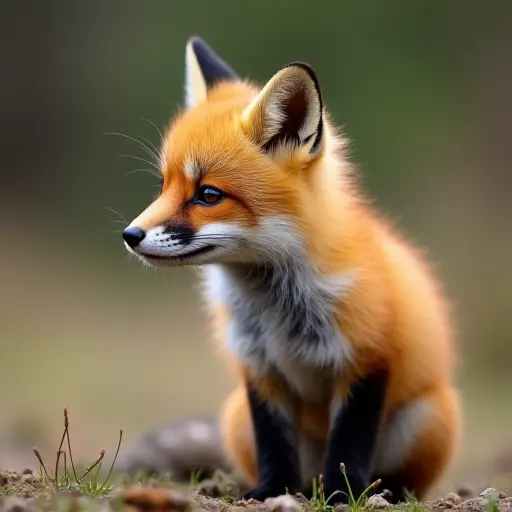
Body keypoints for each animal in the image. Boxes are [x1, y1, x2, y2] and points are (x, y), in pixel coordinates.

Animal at [122, 37, 462, 504]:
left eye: (208, 195)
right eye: (163, 186)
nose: (130, 234)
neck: (279, 308)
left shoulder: (367, 360)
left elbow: (349, 445)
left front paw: (343, 496)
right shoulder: (260, 368)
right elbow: (274, 444)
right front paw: (270, 492)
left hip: (427, 417)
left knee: (393, 477)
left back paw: (380, 493)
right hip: (236, 417)